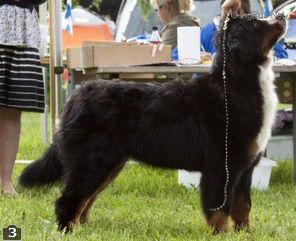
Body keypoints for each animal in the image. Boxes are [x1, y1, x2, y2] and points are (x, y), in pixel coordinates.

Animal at [19, 0, 286, 233]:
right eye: (255, 23)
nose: (282, 16)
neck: (235, 84)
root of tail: (77, 94)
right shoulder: (222, 166)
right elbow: (219, 210)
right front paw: (222, 233)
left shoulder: (245, 167)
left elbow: (243, 206)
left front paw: (245, 232)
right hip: (93, 160)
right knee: (70, 199)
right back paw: (68, 230)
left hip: (108, 162)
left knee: (85, 199)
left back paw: (83, 227)